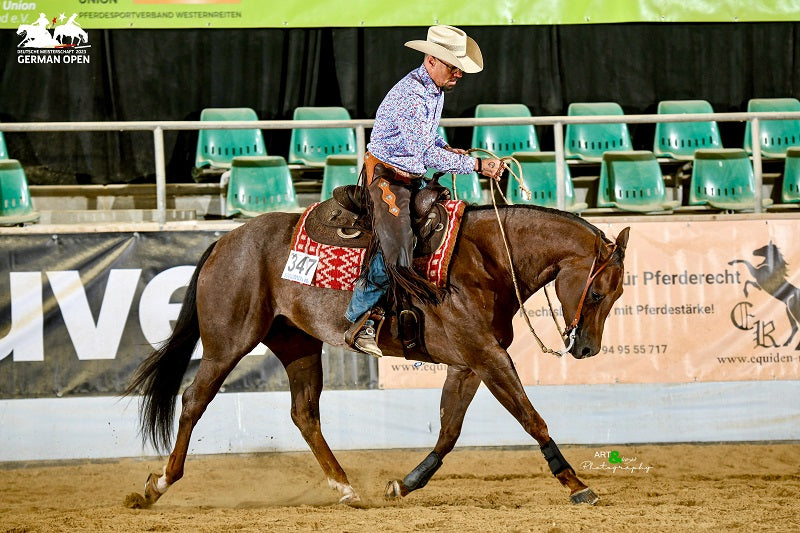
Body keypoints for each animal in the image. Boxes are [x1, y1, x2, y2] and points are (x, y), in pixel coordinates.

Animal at [125, 204, 632, 508]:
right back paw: (157, 485)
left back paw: (347, 488)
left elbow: (448, 432)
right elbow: (532, 418)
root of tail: (224, 242)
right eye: (597, 292)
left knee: (304, 413)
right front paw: (577, 485)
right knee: (194, 400)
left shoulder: (469, 363)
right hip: (228, 342)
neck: (484, 259)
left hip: (298, 345)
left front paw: (405, 484)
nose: (587, 348)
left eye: (619, 293)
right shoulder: (488, 358)